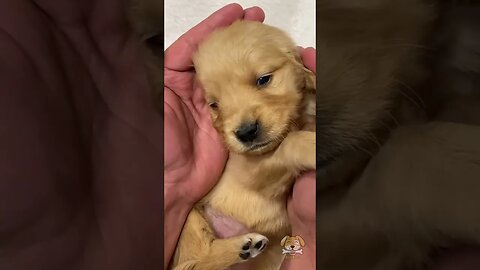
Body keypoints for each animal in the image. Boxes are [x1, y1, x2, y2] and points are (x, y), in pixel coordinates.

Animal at [171, 19, 316, 270]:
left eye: (264, 79)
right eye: (214, 104)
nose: (246, 132)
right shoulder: (251, 172)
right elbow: (290, 143)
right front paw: (312, 144)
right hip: (191, 219)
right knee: (198, 261)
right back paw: (244, 245)